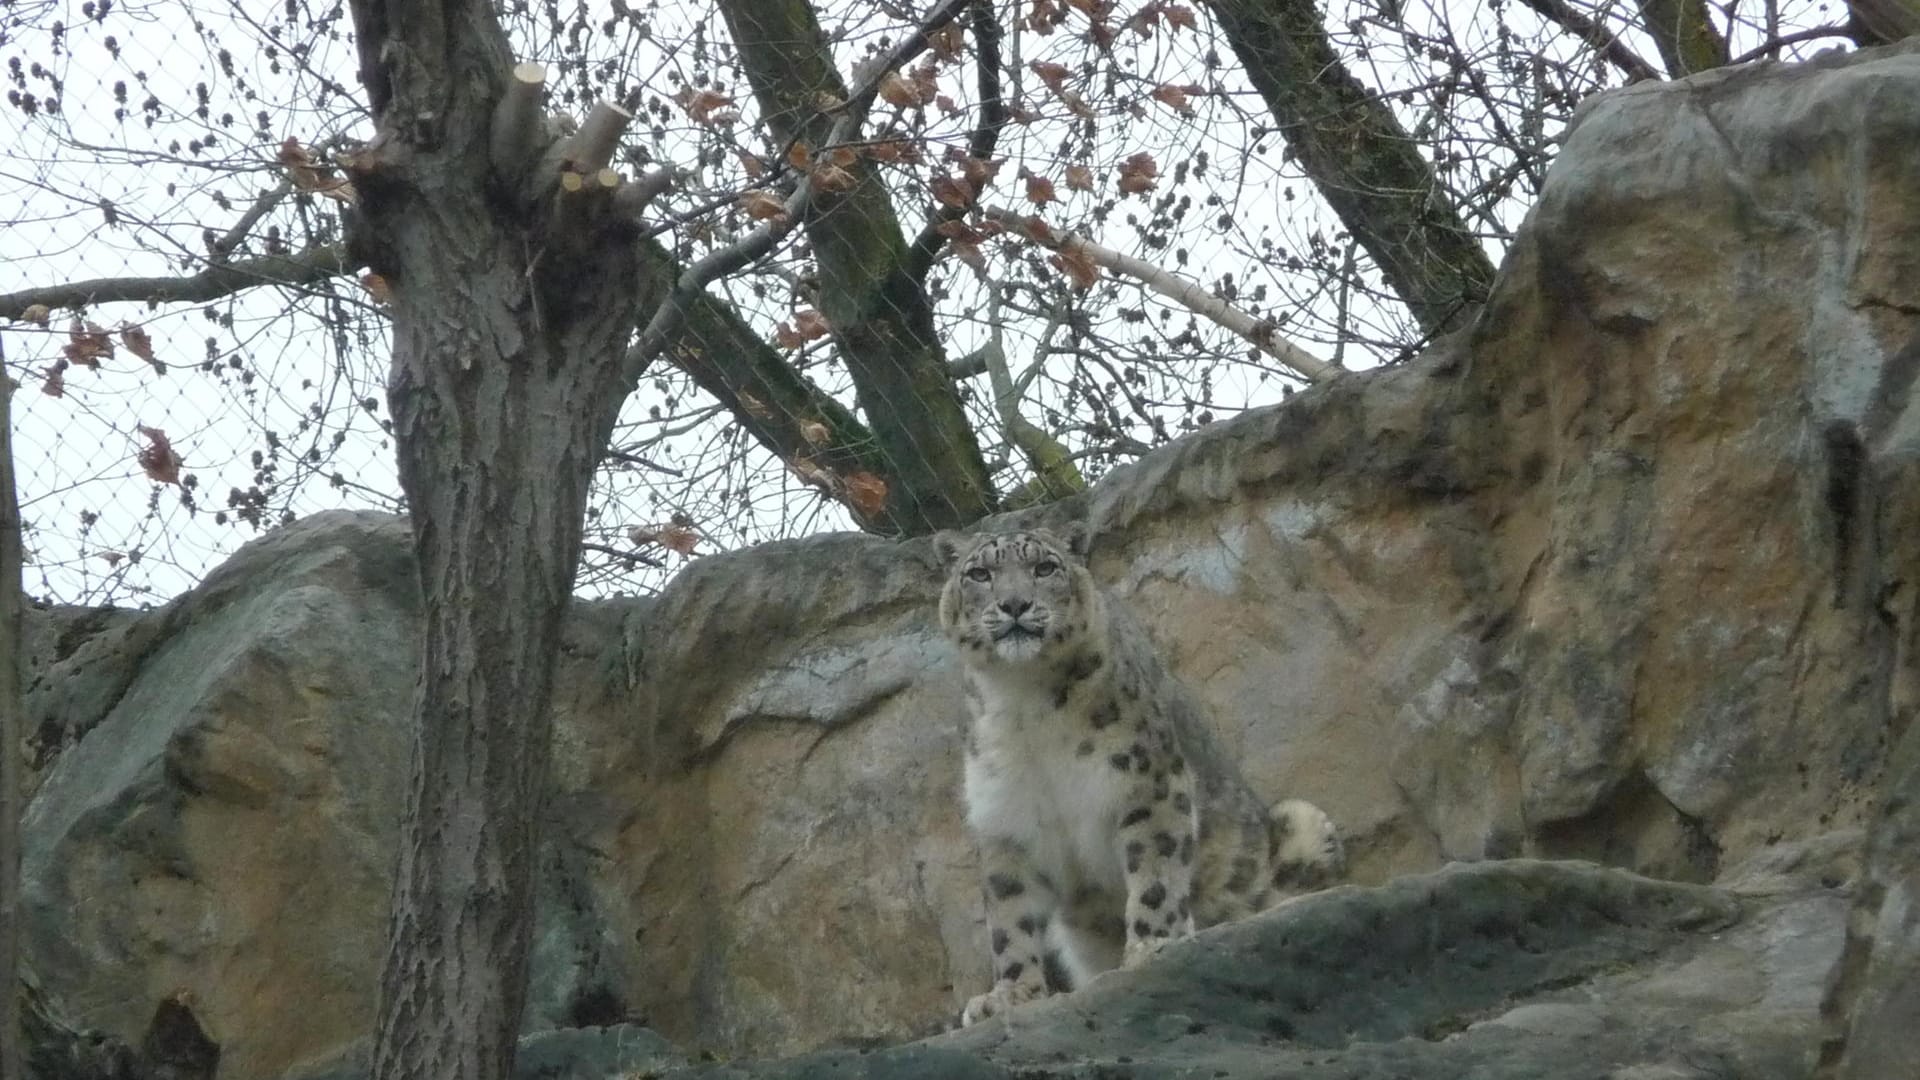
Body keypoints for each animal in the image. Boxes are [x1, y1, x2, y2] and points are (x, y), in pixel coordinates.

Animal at [936, 522, 1344, 1022]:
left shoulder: (1149, 782)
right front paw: (1010, 995)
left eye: (1044, 567)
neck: (1024, 701)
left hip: (1298, 822)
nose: (1015, 604)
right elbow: (1010, 916)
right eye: (979, 573)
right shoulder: (1004, 817)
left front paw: (1152, 946)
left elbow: (1155, 870)